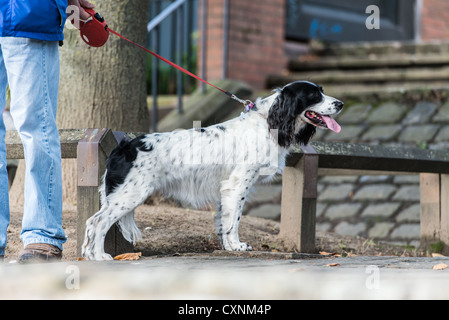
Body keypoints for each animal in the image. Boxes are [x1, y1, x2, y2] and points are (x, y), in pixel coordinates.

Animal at [82, 80, 344, 260]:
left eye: (322, 91)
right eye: (314, 95)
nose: (340, 103)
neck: (267, 123)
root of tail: (125, 146)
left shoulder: (225, 189)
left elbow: (224, 220)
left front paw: (229, 248)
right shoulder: (238, 185)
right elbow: (234, 220)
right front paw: (237, 246)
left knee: (93, 223)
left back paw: (87, 255)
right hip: (130, 195)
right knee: (97, 221)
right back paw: (99, 256)